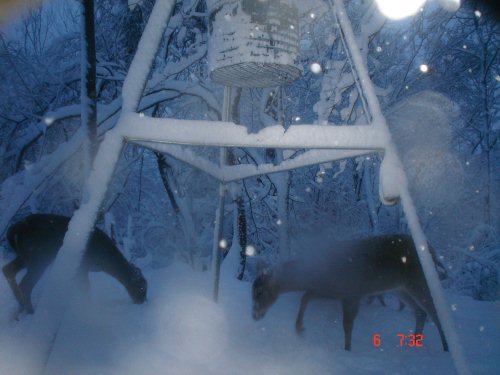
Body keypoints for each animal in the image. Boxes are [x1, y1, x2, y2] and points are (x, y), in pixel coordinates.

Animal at [1, 213, 147, 316]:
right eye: (142, 287)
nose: (143, 301)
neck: (103, 261)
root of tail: (13, 231)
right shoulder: (83, 264)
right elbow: (85, 288)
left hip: (24, 256)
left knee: (7, 269)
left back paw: (21, 308)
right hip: (38, 256)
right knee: (25, 284)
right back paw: (31, 311)